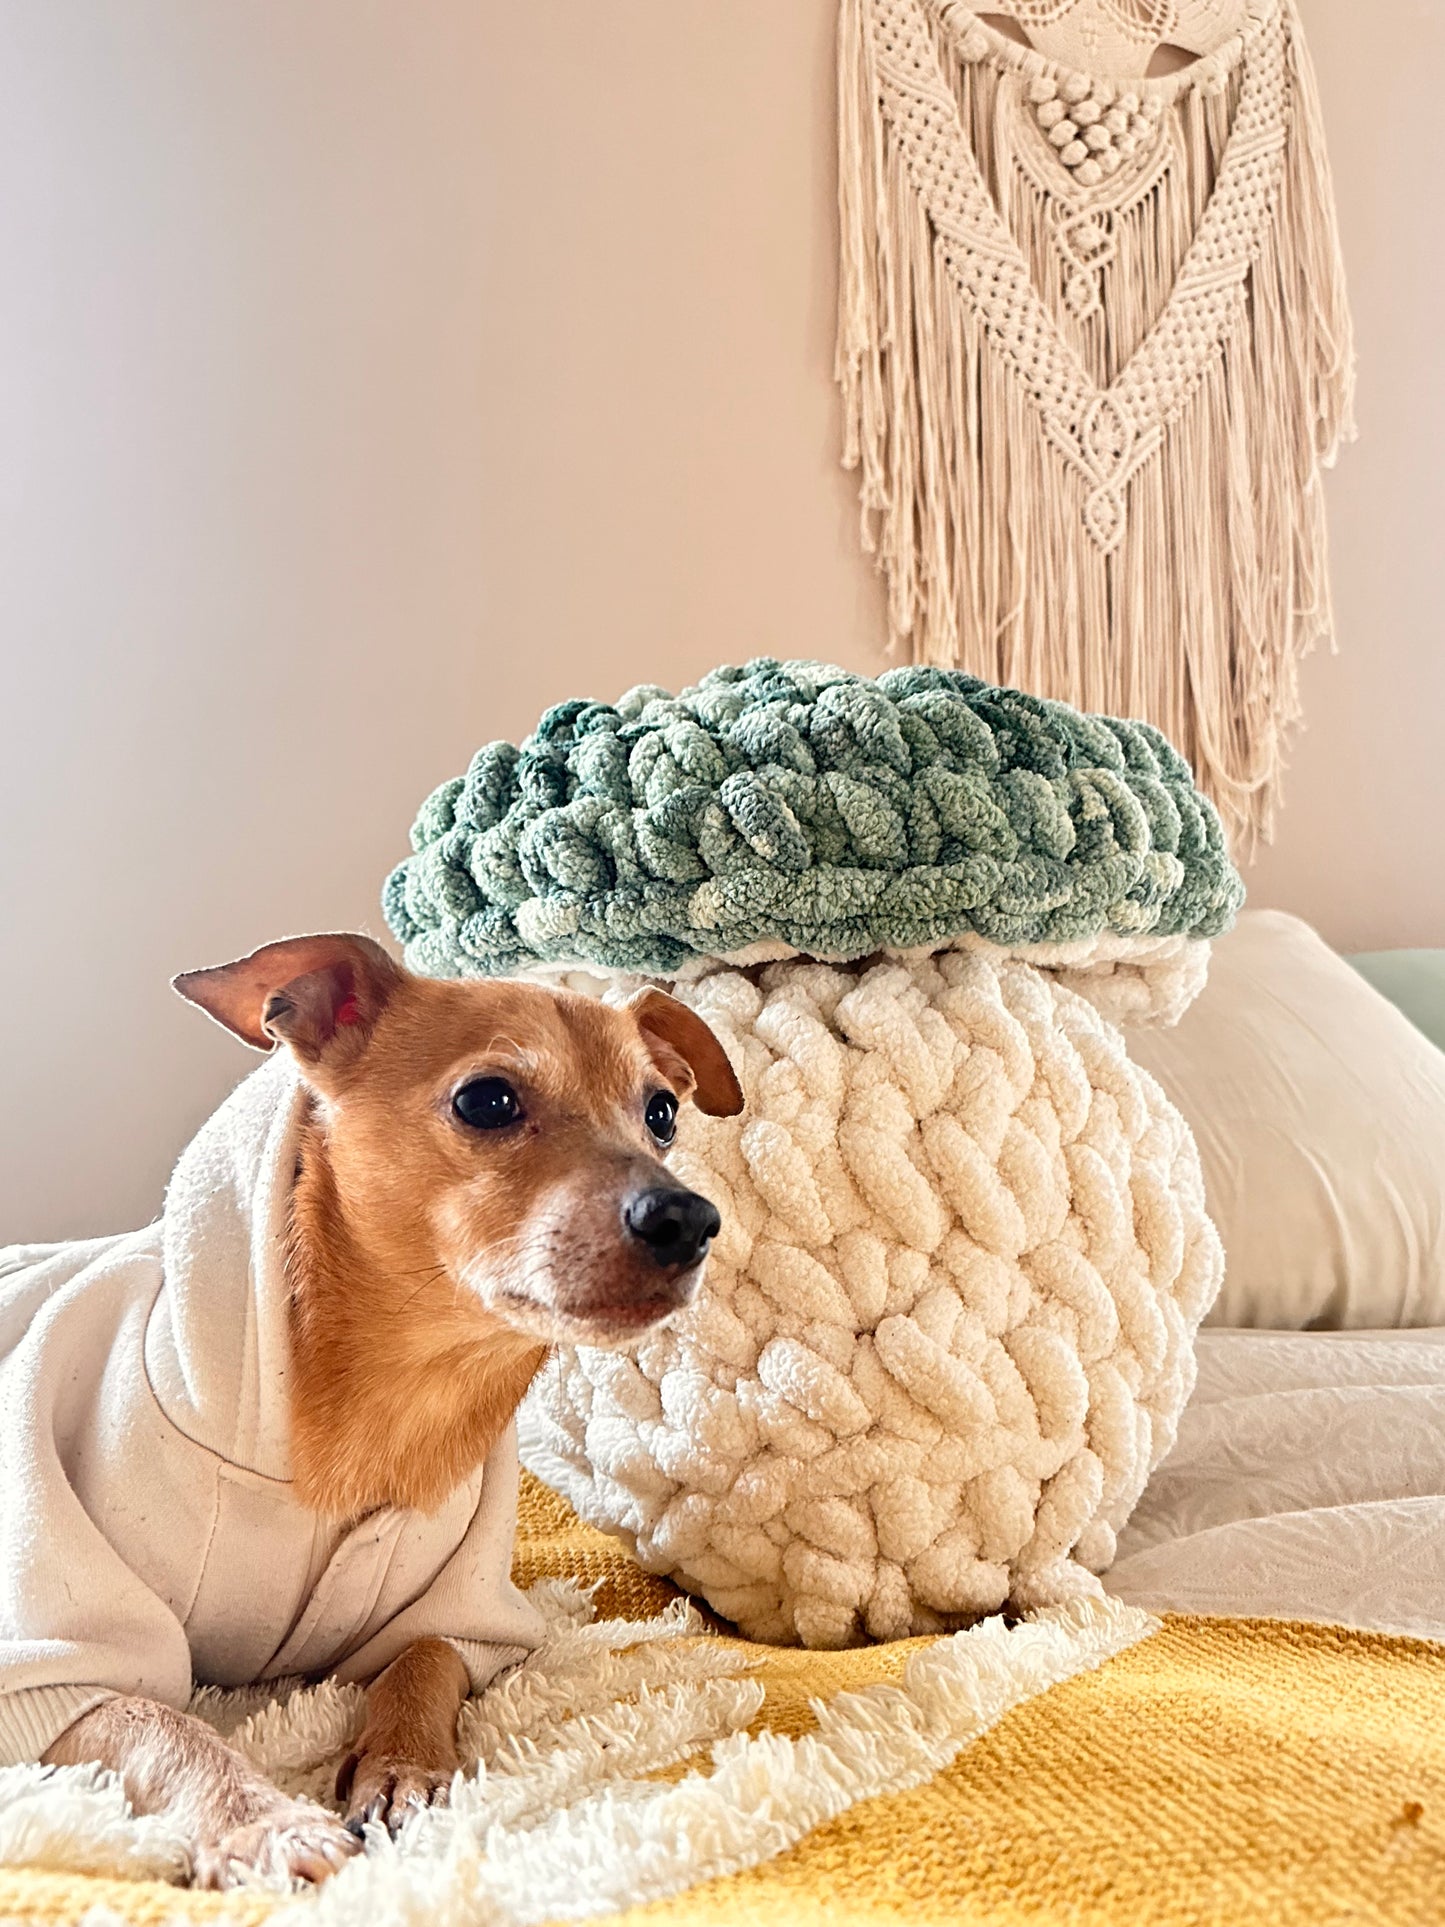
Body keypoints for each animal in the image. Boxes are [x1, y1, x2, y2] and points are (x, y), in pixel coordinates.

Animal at [38, 940, 739, 1888]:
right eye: (486, 1099)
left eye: (661, 1112)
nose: (690, 1216)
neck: (395, 1395)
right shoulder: (63, 1661)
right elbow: (163, 1724)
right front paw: (265, 1823)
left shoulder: (455, 1608)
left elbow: (424, 1657)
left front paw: (402, 1765)